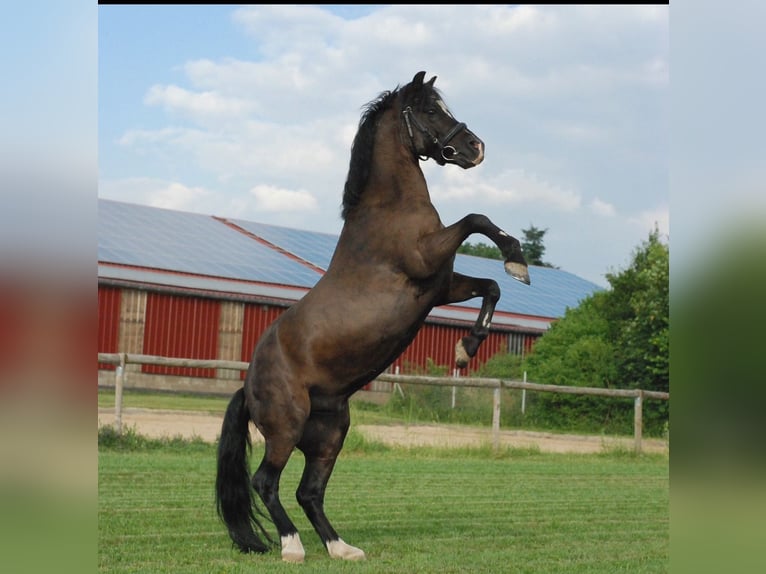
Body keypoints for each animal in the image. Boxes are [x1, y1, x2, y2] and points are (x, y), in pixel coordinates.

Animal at [213, 71, 532, 564]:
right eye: (430, 110)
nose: (476, 147)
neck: (389, 208)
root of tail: (247, 386)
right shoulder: (426, 260)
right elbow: (475, 218)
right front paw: (517, 258)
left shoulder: (441, 286)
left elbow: (491, 287)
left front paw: (466, 350)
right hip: (286, 429)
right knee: (266, 482)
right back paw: (292, 547)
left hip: (330, 433)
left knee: (309, 491)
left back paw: (341, 548)